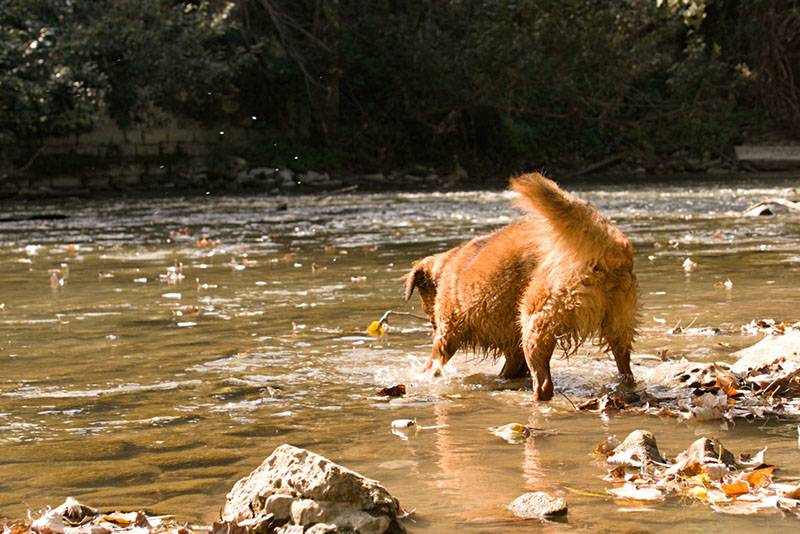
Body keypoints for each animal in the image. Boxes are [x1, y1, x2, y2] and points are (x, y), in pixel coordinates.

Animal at [404, 175, 640, 402]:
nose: (431, 323)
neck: (447, 268)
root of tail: (607, 245)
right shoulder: (512, 348)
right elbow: (509, 369)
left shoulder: (447, 334)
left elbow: (433, 364)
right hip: (619, 326)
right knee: (626, 370)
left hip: (535, 322)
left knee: (543, 385)